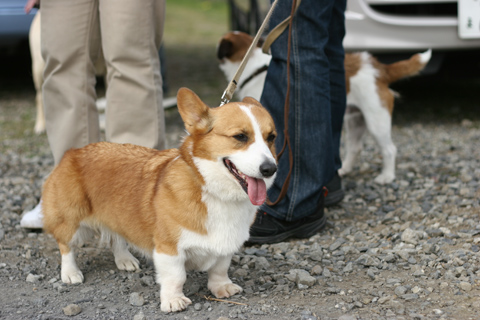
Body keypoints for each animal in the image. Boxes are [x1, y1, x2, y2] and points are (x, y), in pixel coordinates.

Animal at [43, 88, 280, 312]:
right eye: (240, 136)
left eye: (271, 137)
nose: (270, 169)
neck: (211, 189)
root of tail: (73, 152)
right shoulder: (169, 248)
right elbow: (176, 277)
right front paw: (173, 301)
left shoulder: (226, 244)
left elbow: (220, 268)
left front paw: (222, 287)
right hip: (71, 221)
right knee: (65, 245)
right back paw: (70, 272)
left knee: (116, 237)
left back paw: (124, 260)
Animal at [218, 31, 432, 185]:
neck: (255, 67)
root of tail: (380, 68)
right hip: (355, 119)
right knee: (355, 147)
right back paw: (344, 170)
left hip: (376, 120)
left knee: (390, 149)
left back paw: (387, 176)